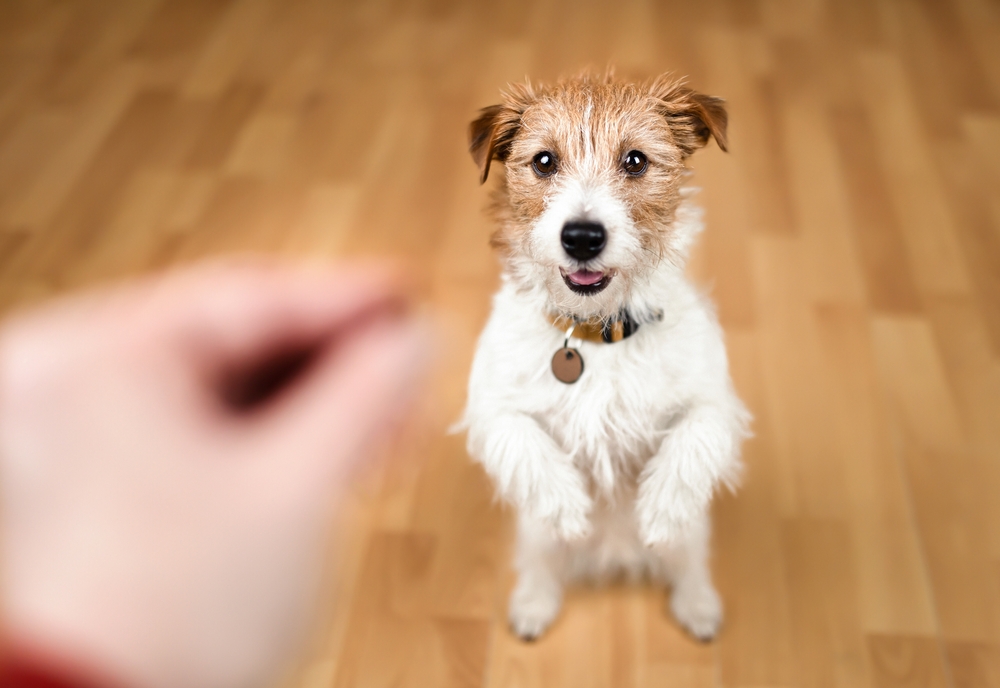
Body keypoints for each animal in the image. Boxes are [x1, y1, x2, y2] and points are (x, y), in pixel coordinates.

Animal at [458, 72, 748, 644]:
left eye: (635, 160)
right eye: (544, 161)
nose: (582, 237)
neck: (595, 333)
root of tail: (615, 557)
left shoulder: (715, 400)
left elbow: (694, 438)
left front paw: (659, 511)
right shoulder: (492, 406)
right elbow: (524, 441)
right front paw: (570, 507)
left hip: (693, 538)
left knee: (689, 562)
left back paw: (697, 604)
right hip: (535, 538)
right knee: (540, 563)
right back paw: (534, 604)